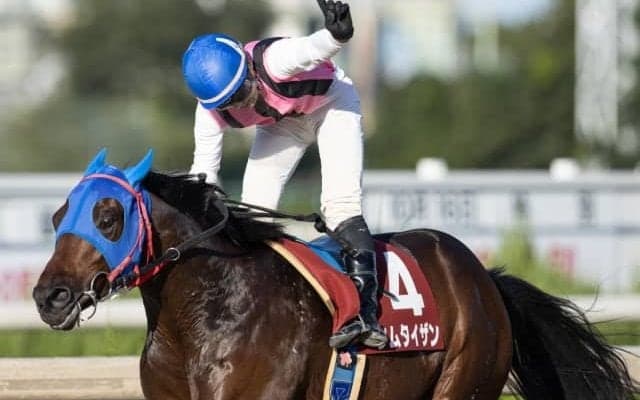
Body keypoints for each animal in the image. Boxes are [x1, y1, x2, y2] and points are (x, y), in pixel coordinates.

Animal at [33, 150, 637, 400]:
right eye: (59, 216)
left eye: (108, 217)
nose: (49, 296)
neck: (203, 319)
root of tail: (485, 279)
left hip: (466, 379)